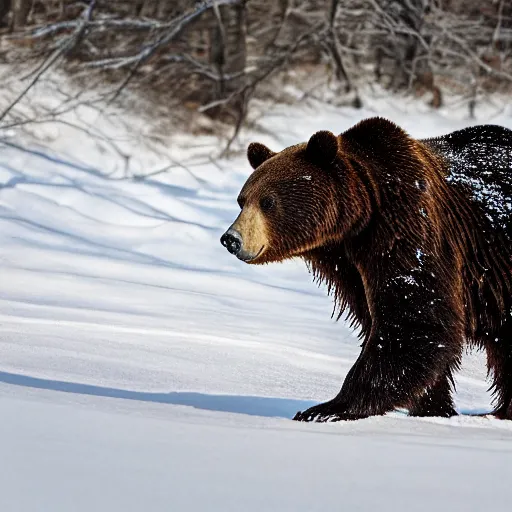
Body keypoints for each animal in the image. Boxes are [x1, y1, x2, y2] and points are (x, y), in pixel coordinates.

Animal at [222, 118, 512, 422]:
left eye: (268, 201)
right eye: (242, 200)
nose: (231, 239)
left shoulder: (408, 229)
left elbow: (414, 320)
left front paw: (326, 409)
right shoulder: (349, 265)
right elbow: (379, 320)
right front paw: (433, 408)